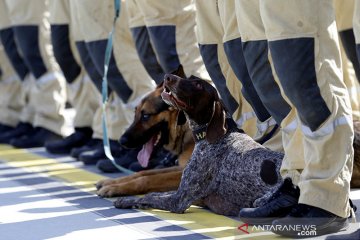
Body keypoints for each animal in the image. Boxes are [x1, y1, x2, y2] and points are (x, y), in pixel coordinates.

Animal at [94, 69, 193, 197]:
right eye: (135, 114)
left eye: (146, 116)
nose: (121, 141)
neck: (185, 129)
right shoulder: (180, 168)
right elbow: (143, 173)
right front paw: (112, 182)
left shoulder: (185, 173)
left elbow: (147, 179)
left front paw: (115, 187)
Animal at [114, 73, 284, 216]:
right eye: (191, 79)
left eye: (198, 85)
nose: (168, 76)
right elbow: (152, 192)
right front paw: (126, 198)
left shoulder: (178, 200)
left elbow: (150, 197)